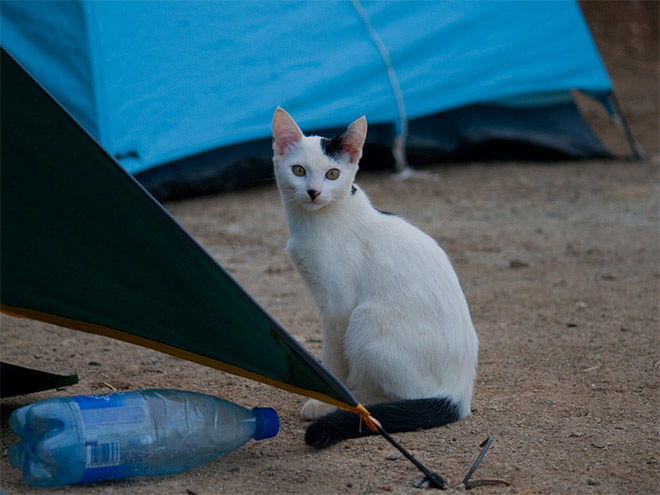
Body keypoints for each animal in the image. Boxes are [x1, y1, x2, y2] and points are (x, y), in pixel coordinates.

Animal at [270, 108, 476, 450]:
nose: (313, 192)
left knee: (399, 395)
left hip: (366, 317)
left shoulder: (338, 308)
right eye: (298, 170)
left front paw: (327, 402)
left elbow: (334, 359)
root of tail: (459, 396)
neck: (319, 220)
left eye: (332, 174)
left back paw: (359, 402)